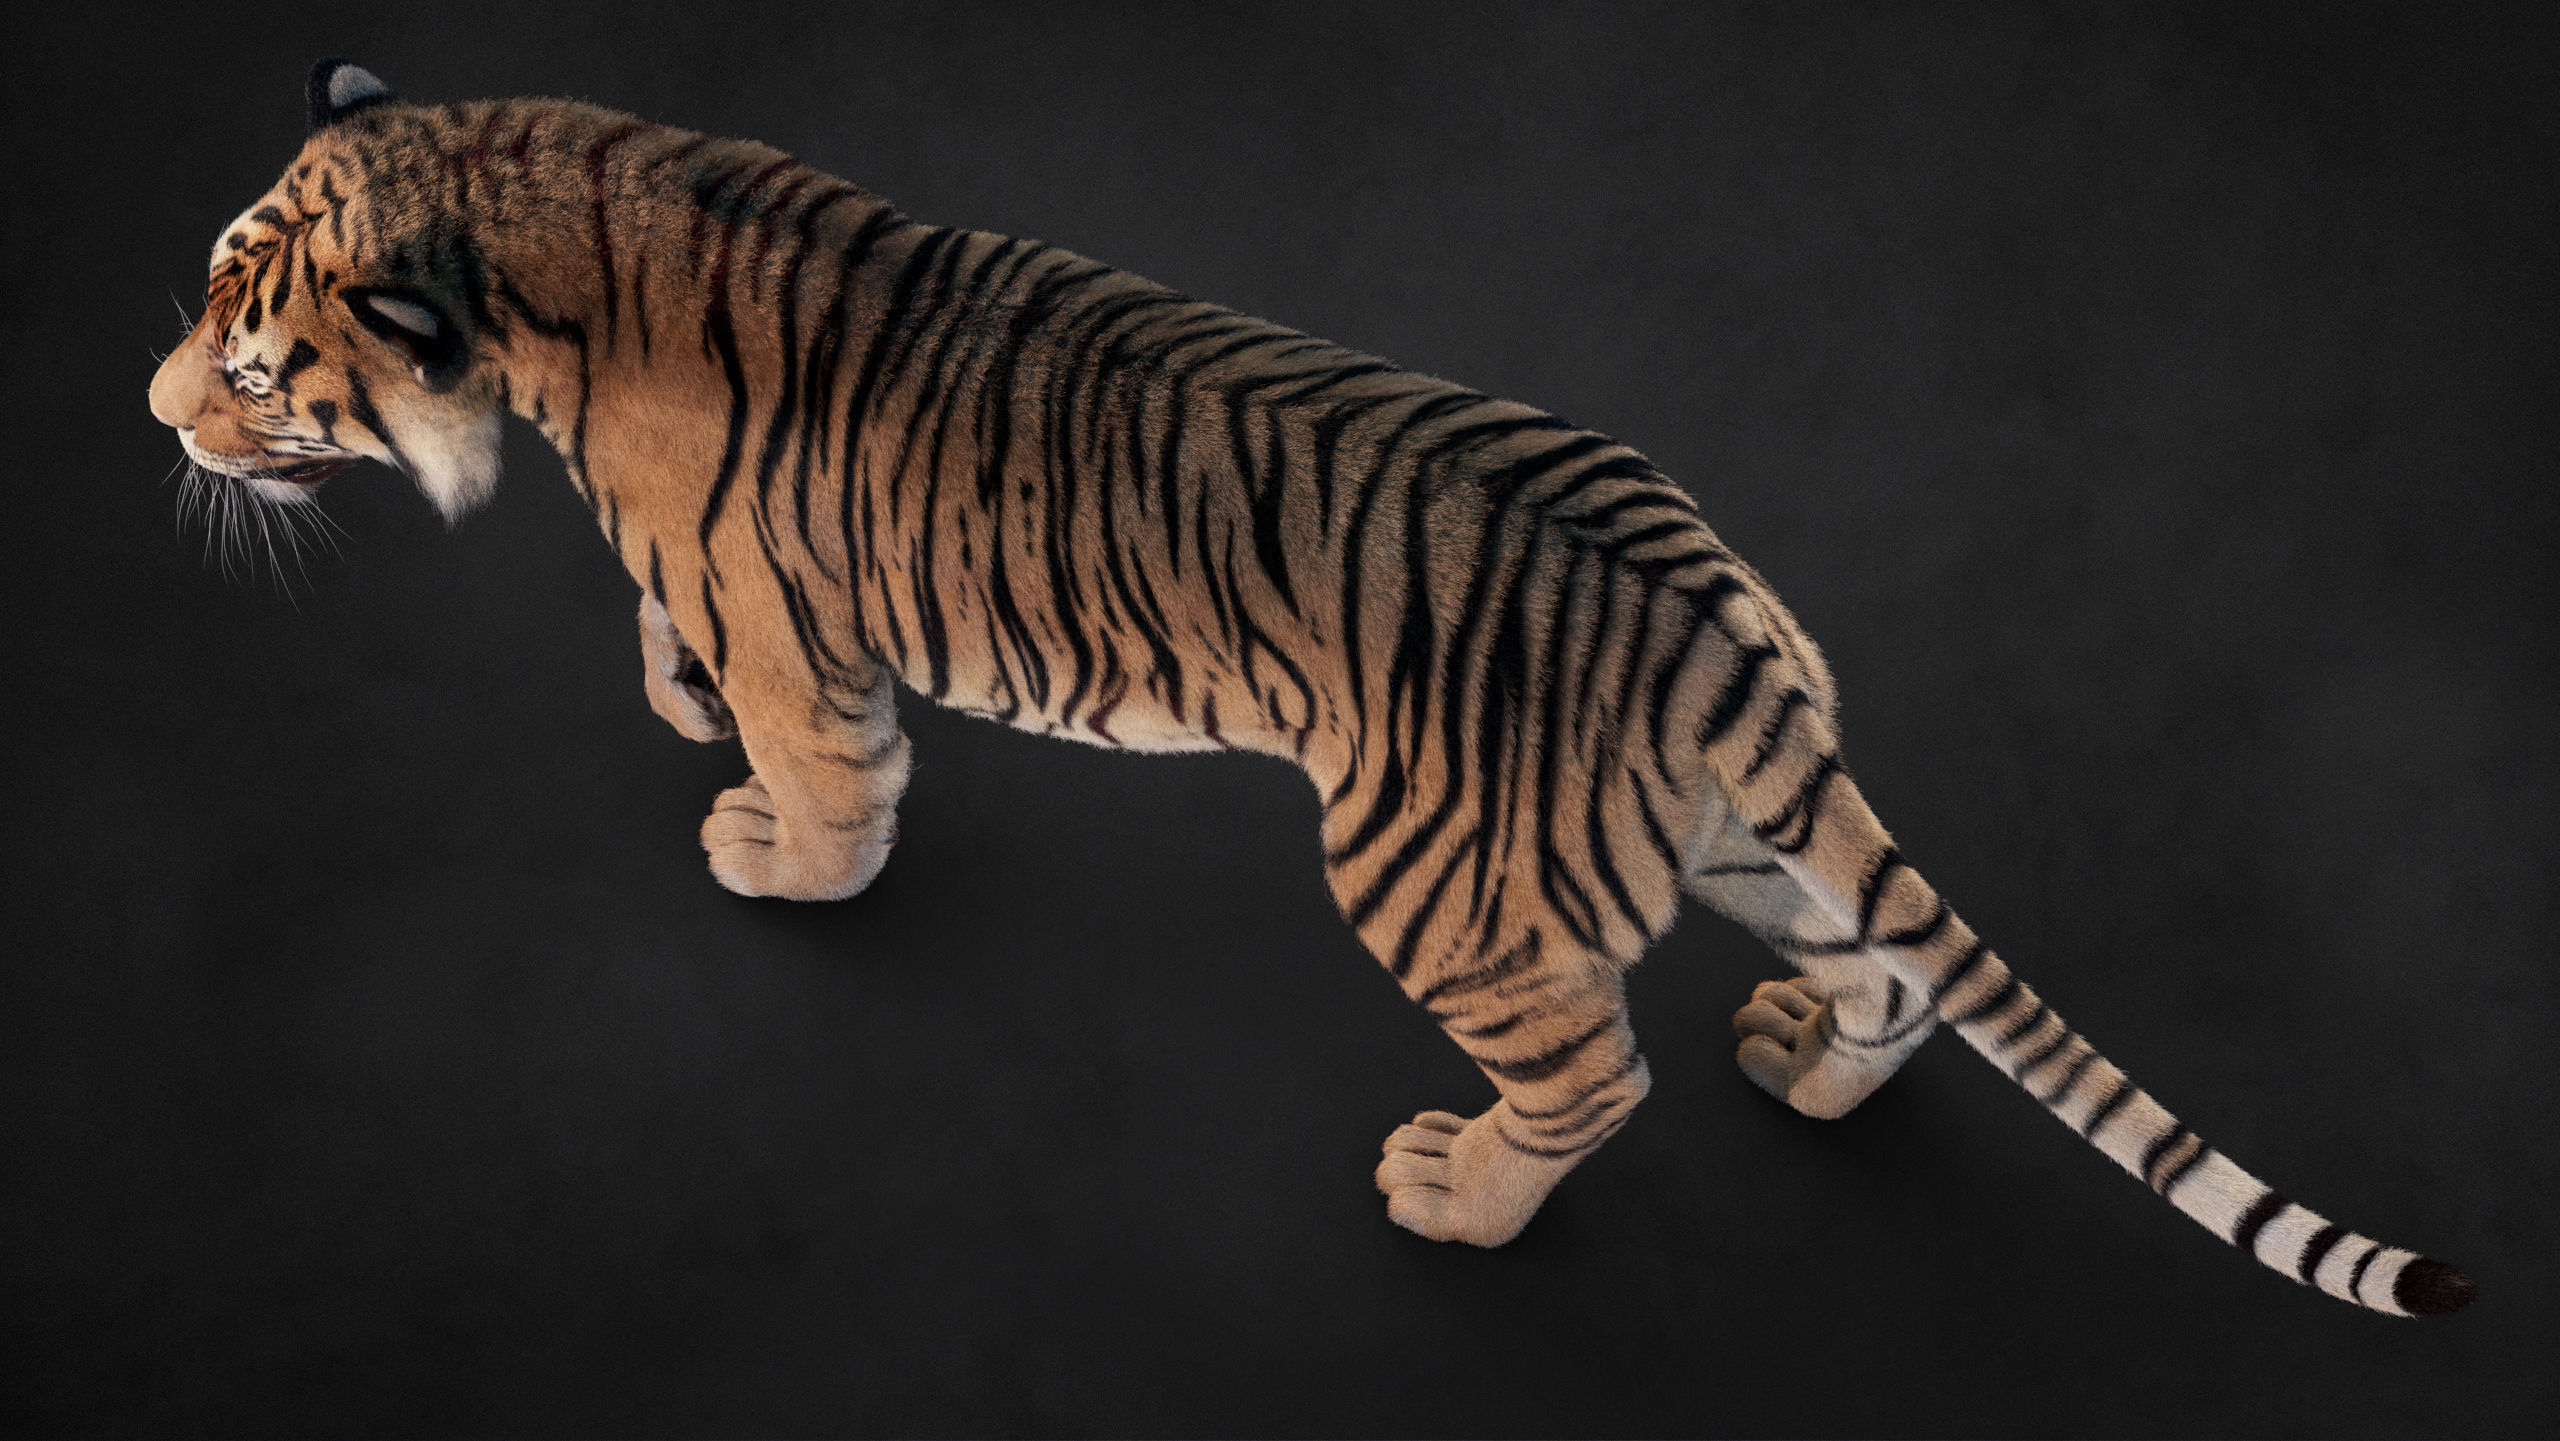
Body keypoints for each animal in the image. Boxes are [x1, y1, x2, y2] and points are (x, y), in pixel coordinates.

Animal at [147, 59, 2472, 1317]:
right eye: (205, 305)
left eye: (258, 367)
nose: (153, 413)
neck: (534, 222)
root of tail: (1707, 608)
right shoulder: (709, 565)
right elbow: (675, 645)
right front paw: (679, 714)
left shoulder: (776, 590)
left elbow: (829, 772)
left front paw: (768, 848)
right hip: (1733, 832)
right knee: (1886, 973)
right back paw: (1805, 1065)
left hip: (1439, 875)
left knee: (1592, 1072)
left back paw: (1458, 1194)